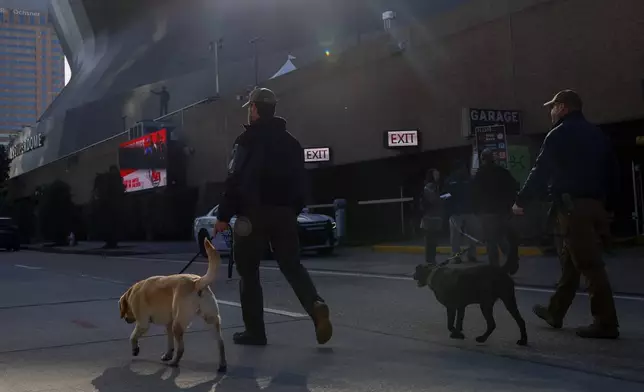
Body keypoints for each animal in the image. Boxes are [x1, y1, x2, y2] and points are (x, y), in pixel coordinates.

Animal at [119, 236, 228, 370]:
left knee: (181, 348)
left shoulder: (143, 323)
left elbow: (132, 337)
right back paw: (222, 364)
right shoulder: (168, 324)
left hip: (178, 323)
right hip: (211, 319)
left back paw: (174, 362)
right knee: (221, 343)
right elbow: (170, 342)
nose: (125, 319)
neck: (132, 293)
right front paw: (168, 354)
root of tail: (197, 282)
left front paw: (135, 349)